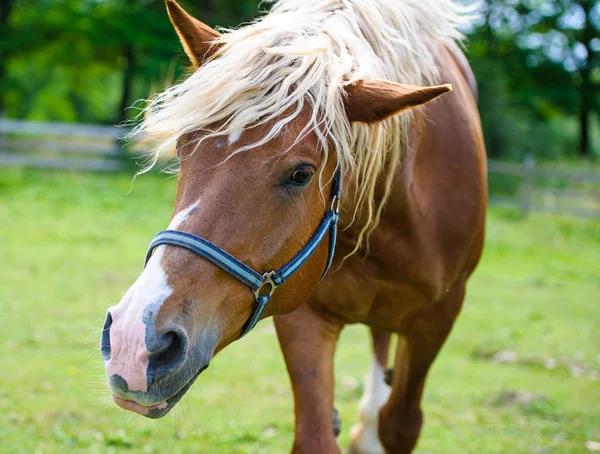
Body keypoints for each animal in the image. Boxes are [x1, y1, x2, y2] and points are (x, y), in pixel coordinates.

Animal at [101, 1, 486, 452]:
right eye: (182, 148)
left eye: (302, 174)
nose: (134, 342)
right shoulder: (301, 313)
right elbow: (315, 435)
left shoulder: (438, 317)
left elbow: (401, 424)